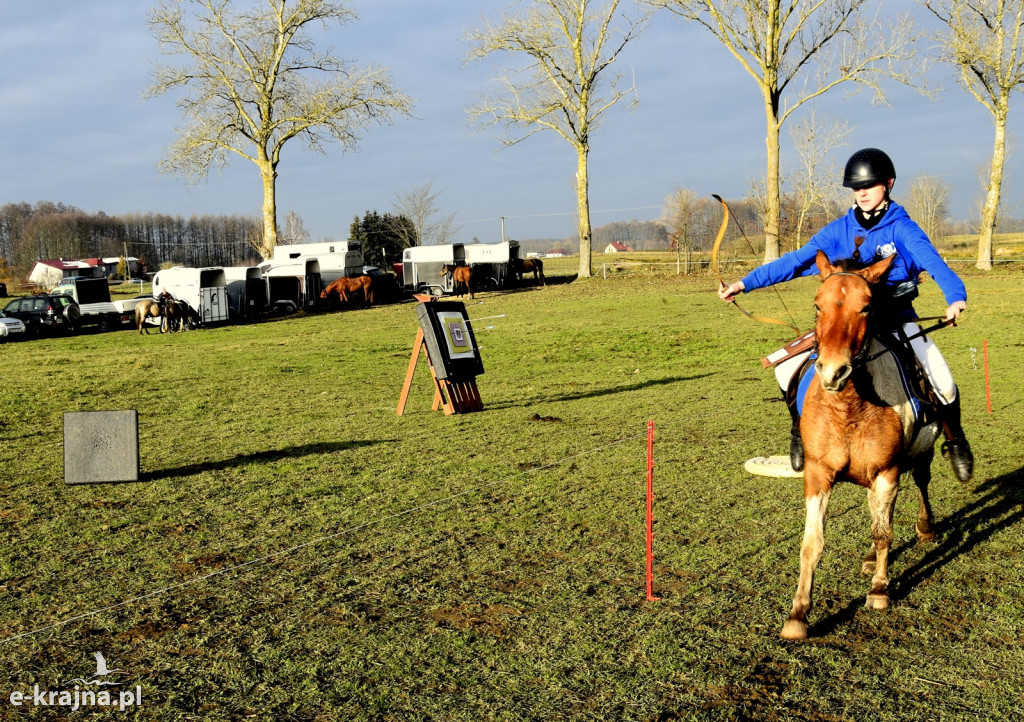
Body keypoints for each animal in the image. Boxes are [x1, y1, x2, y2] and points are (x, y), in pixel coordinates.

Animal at [782, 250, 942, 639]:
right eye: (818, 304)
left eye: (867, 307)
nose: (833, 371)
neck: (850, 408)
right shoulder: (818, 474)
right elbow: (812, 542)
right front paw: (798, 613)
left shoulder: (887, 472)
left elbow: (884, 534)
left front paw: (880, 591)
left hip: (919, 456)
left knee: (920, 486)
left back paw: (924, 528)